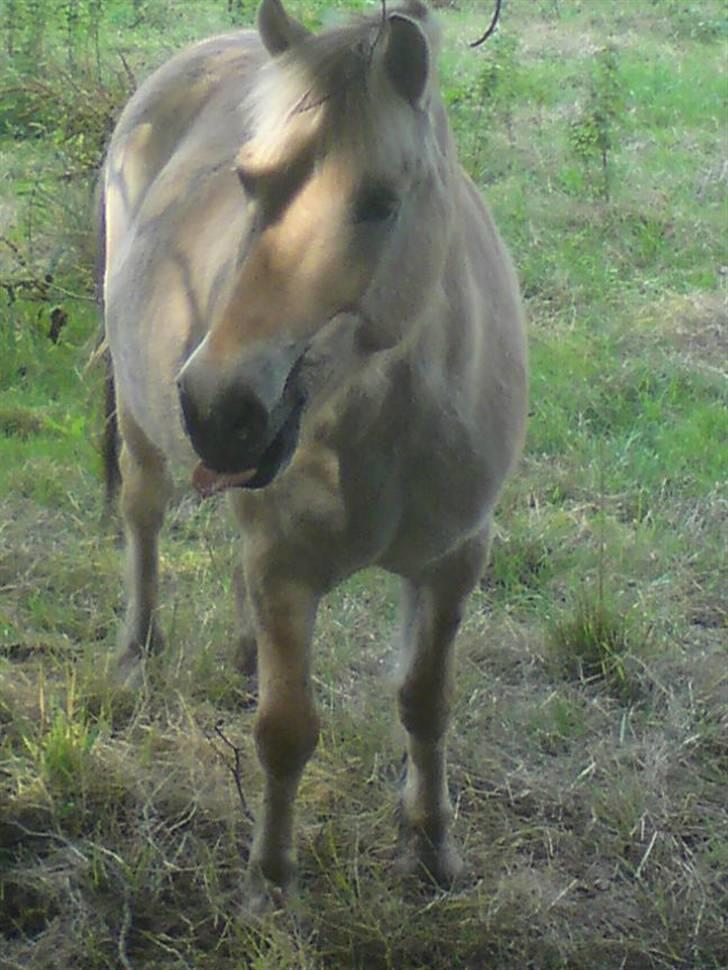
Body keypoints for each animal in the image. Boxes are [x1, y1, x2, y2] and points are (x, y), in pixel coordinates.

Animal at [99, 0, 528, 908]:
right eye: (248, 182)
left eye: (380, 201)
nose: (218, 407)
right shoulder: (288, 569)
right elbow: (286, 732)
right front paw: (270, 878)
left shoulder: (453, 561)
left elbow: (426, 703)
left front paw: (431, 844)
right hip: (141, 421)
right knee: (142, 520)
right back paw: (135, 657)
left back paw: (238, 656)